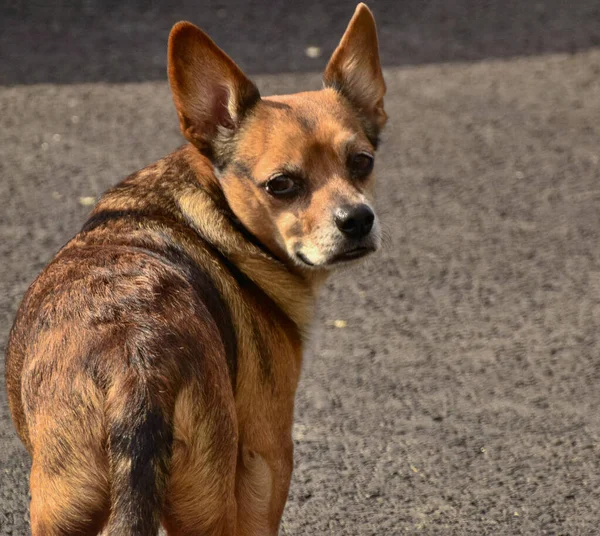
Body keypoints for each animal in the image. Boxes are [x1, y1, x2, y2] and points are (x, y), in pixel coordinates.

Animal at [4, 3, 386, 532]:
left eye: (362, 162)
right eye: (281, 185)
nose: (358, 219)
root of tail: (136, 371)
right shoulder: (268, 455)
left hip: (65, 505)